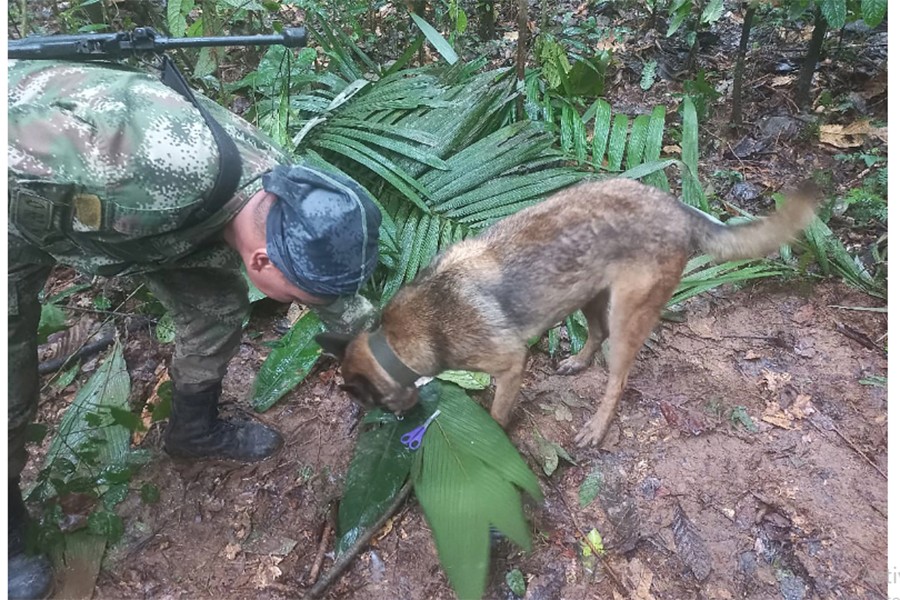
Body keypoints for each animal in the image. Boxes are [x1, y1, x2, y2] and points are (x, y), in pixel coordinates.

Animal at [316, 178, 816, 446]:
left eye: (369, 402)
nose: (401, 423)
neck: (397, 339)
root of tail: (677, 207)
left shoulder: (510, 364)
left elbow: (497, 413)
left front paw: (493, 436)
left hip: (626, 316)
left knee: (617, 378)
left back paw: (596, 426)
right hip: (589, 295)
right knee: (594, 335)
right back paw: (577, 362)